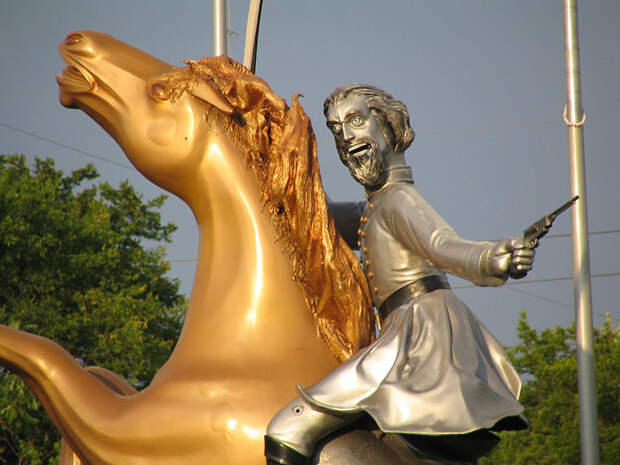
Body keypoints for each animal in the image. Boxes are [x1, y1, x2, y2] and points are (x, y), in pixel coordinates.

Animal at [0, 30, 372, 462]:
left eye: (159, 91)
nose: (80, 40)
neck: (247, 355)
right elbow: (93, 372)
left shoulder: (131, 434)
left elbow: (53, 361)